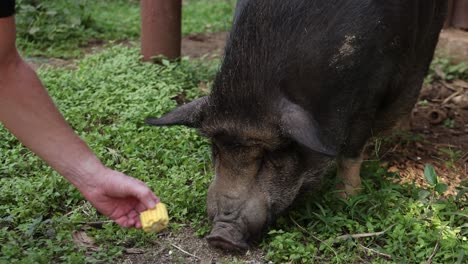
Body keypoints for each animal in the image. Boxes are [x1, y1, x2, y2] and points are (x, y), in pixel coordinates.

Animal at [145, 0, 446, 252]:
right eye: (215, 150)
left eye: (271, 156)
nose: (221, 236)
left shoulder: (370, 90)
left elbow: (351, 151)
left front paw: (346, 200)